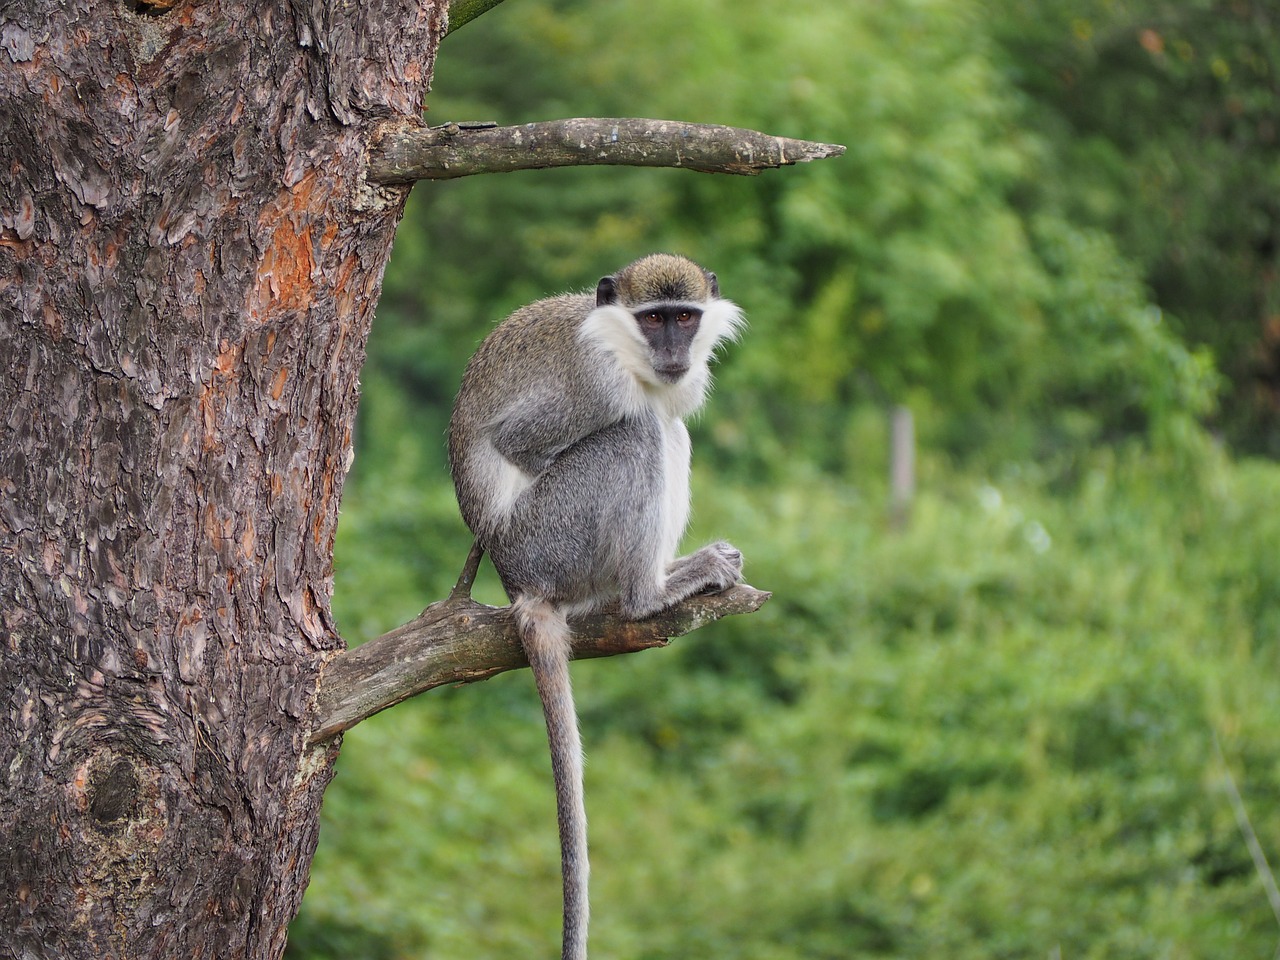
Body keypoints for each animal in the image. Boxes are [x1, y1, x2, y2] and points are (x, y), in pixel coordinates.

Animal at [450, 256, 747, 960]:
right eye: (654, 319)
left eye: (685, 317)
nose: (674, 354)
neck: (623, 347)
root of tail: (518, 583)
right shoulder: (596, 385)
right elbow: (524, 443)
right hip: (553, 541)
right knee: (639, 432)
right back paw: (647, 595)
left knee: (668, 428)